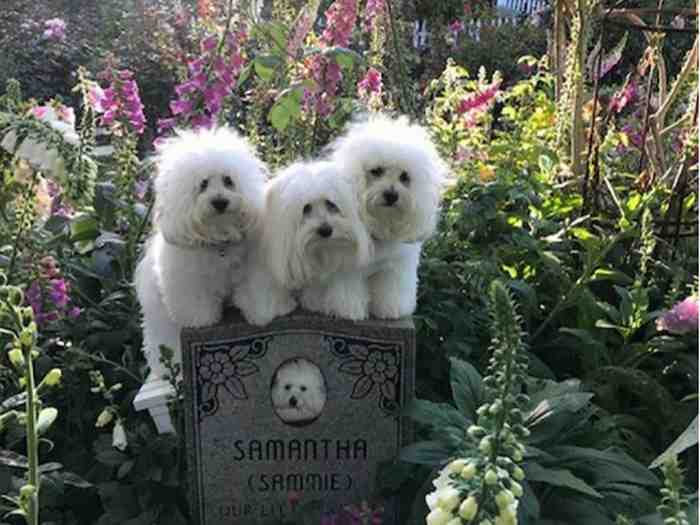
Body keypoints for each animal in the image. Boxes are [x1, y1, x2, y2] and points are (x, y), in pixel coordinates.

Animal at [135, 128, 266, 380]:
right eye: (203, 184)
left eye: (228, 180)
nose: (220, 201)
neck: (218, 240)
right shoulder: (189, 284)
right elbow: (196, 306)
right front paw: (202, 321)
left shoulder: (250, 271)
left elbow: (254, 292)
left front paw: (259, 313)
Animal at [328, 115, 448, 320]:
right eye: (376, 171)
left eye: (405, 176)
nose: (391, 195)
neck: (380, 224)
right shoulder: (347, 266)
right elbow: (348, 291)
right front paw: (349, 310)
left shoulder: (395, 268)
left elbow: (392, 291)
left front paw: (392, 310)